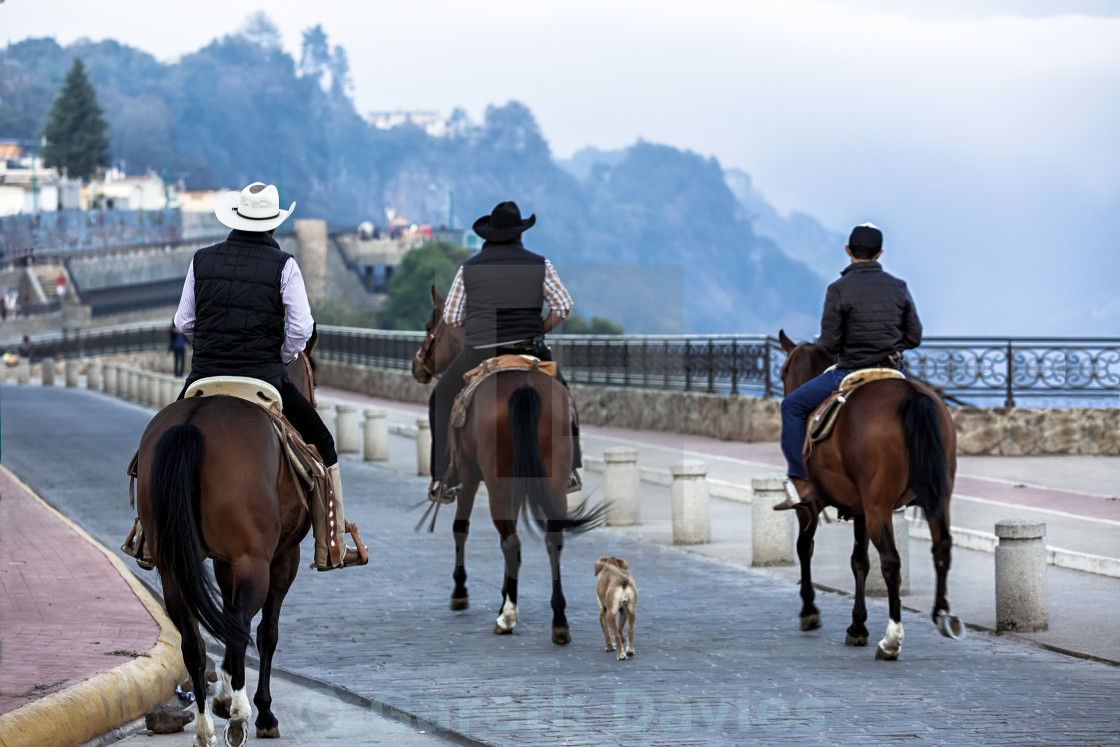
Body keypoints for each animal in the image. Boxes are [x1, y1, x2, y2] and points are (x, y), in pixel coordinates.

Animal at [134, 333, 324, 747]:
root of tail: (192, 424)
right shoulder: (282, 558)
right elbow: (266, 632)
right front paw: (261, 711)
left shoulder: (224, 561)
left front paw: (222, 694)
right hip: (254, 560)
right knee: (240, 627)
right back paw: (239, 716)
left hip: (174, 568)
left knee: (194, 640)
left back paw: (204, 727)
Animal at [414, 286, 604, 645]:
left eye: (431, 326)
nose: (418, 365)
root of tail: (524, 387)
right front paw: (504, 595)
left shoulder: (471, 477)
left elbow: (461, 528)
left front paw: (461, 591)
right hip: (551, 479)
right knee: (551, 539)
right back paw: (559, 620)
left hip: (494, 481)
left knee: (511, 540)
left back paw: (508, 618)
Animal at [779, 329, 963, 658]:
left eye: (783, 371)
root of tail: (909, 394)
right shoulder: (860, 509)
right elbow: (859, 562)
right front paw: (857, 626)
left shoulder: (810, 506)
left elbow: (805, 548)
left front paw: (810, 609)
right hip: (937, 498)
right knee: (941, 546)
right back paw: (941, 614)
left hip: (879, 506)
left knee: (891, 561)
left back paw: (892, 639)